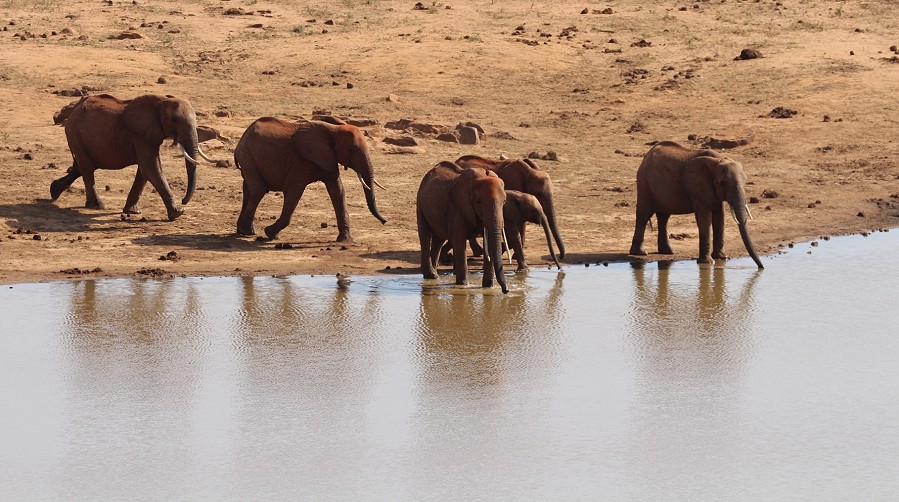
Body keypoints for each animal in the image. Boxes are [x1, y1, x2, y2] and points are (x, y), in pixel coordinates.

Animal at [49, 94, 211, 220]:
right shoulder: (140, 134)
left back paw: (54, 191)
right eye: (173, 120)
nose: (183, 201)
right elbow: (150, 169)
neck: (162, 100)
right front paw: (177, 213)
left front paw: (133, 212)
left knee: (79, 167)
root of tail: (74, 110)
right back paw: (97, 206)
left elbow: (145, 171)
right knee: (87, 169)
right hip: (75, 133)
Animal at [234, 115, 384, 241]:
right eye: (350, 150)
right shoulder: (301, 161)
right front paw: (270, 233)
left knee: (248, 189)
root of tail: (243, 136)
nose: (384, 221)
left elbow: (338, 191)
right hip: (248, 156)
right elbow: (294, 191)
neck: (333, 130)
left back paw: (243, 231)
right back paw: (248, 232)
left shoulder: (328, 158)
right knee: (258, 190)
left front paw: (345, 240)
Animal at [418, 161, 510, 294]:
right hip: (420, 202)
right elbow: (459, 240)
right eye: (478, 202)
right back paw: (431, 276)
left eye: (504, 202)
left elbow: (488, 241)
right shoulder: (456, 206)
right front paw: (463, 285)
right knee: (425, 236)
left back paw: (434, 276)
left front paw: (488, 287)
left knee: (438, 240)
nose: (506, 290)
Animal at [624, 139, 768, 268]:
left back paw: (667, 252)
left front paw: (722, 258)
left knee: (664, 217)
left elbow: (719, 218)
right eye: (723, 183)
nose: (761, 267)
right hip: (644, 183)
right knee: (644, 215)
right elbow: (705, 218)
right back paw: (641, 253)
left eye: (745, 181)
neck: (718, 159)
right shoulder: (698, 188)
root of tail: (647, 155)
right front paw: (708, 262)